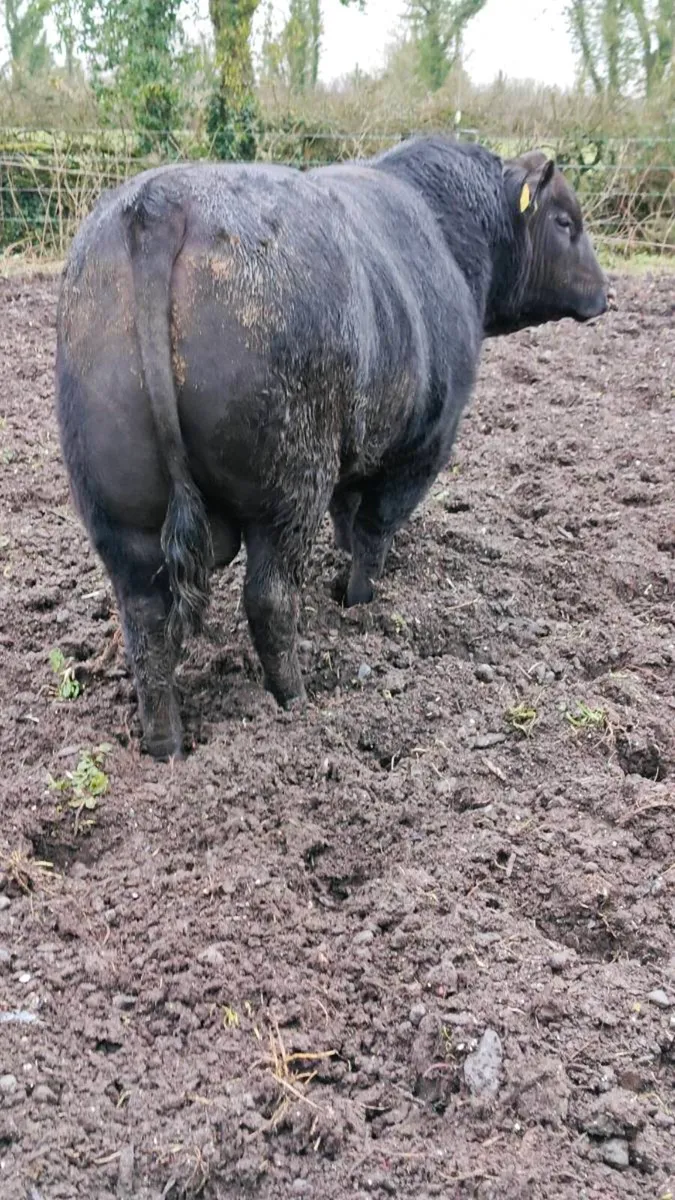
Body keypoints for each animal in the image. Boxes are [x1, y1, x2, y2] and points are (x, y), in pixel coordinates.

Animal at [55, 136, 608, 759]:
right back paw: (293, 698)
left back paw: (165, 742)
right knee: (269, 599)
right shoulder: (423, 447)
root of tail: (163, 204)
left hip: (122, 516)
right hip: (290, 490)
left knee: (145, 620)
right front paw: (357, 597)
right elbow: (374, 526)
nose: (605, 293)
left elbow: (349, 517)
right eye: (565, 222)